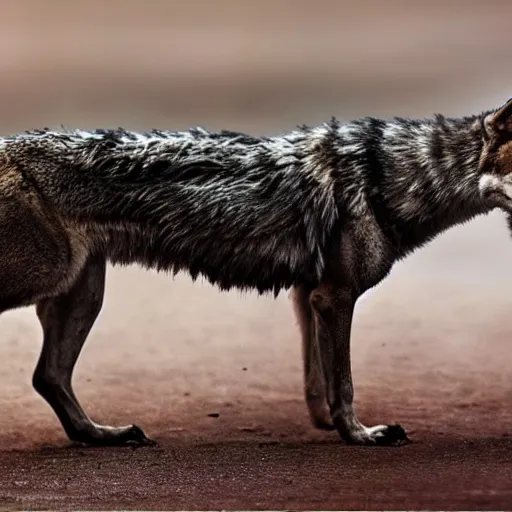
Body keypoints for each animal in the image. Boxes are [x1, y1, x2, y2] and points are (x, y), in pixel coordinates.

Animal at [1, 97, 512, 448]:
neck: (390, 175)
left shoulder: (310, 295)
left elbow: (319, 379)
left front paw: (328, 424)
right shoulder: (335, 295)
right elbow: (344, 382)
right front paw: (360, 435)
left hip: (82, 293)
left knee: (48, 377)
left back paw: (103, 434)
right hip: (50, 279)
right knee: (47, 374)